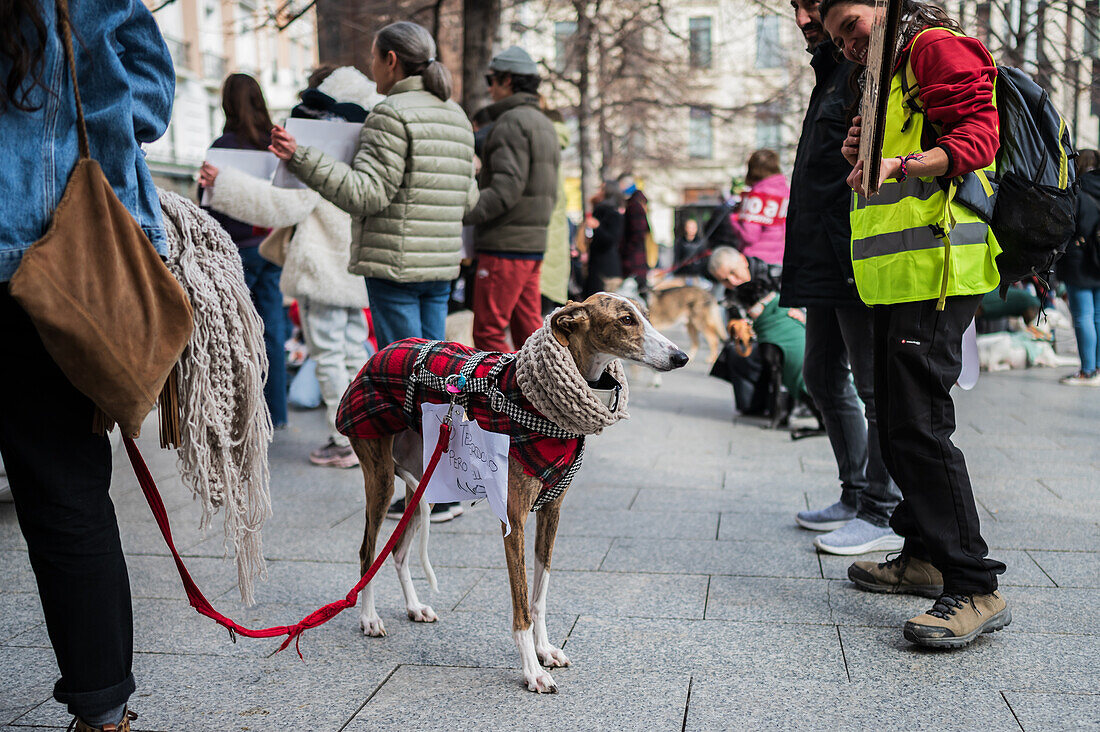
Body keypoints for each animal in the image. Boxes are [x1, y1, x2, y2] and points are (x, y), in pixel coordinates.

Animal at [343, 292, 686, 691]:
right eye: (626, 319)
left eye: (646, 315)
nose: (681, 357)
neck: (539, 407)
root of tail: (380, 352)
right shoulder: (514, 518)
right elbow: (522, 604)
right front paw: (532, 672)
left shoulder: (552, 509)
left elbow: (540, 593)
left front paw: (545, 650)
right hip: (380, 477)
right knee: (367, 551)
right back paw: (369, 618)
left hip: (423, 484)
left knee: (398, 552)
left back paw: (414, 607)